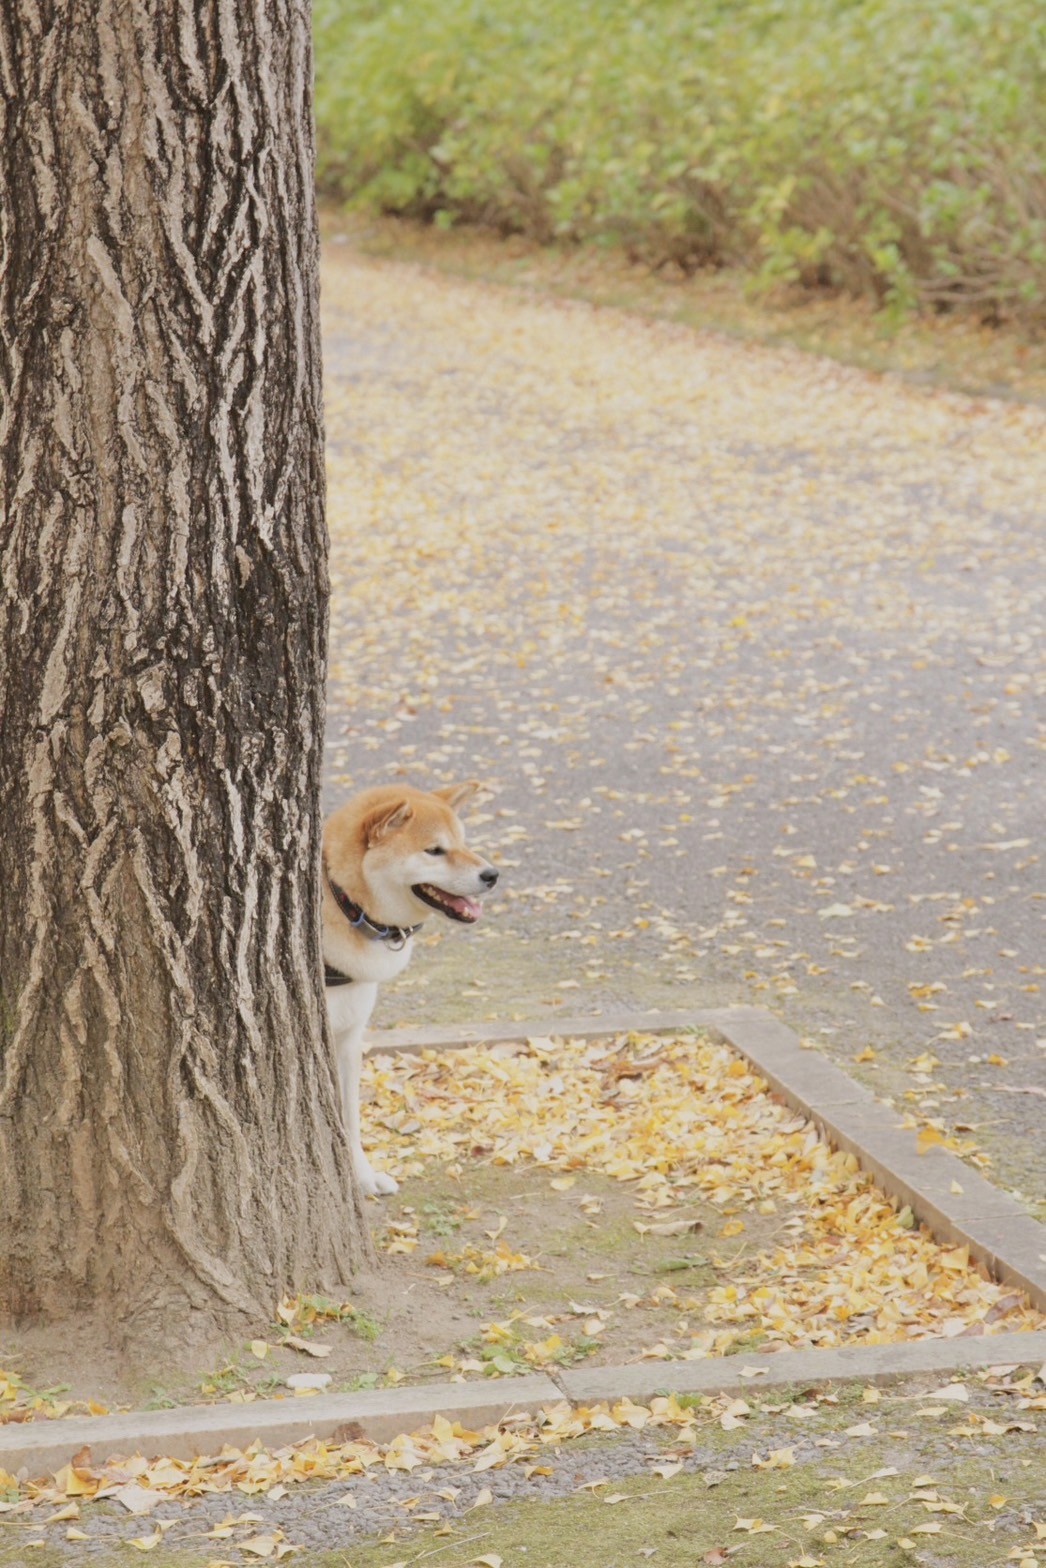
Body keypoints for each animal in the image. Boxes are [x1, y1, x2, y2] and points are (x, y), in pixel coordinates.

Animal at [321, 777, 498, 1191]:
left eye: (463, 842)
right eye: (434, 850)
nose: (492, 875)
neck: (344, 903)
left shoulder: (348, 1038)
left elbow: (349, 1119)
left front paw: (362, 1176)